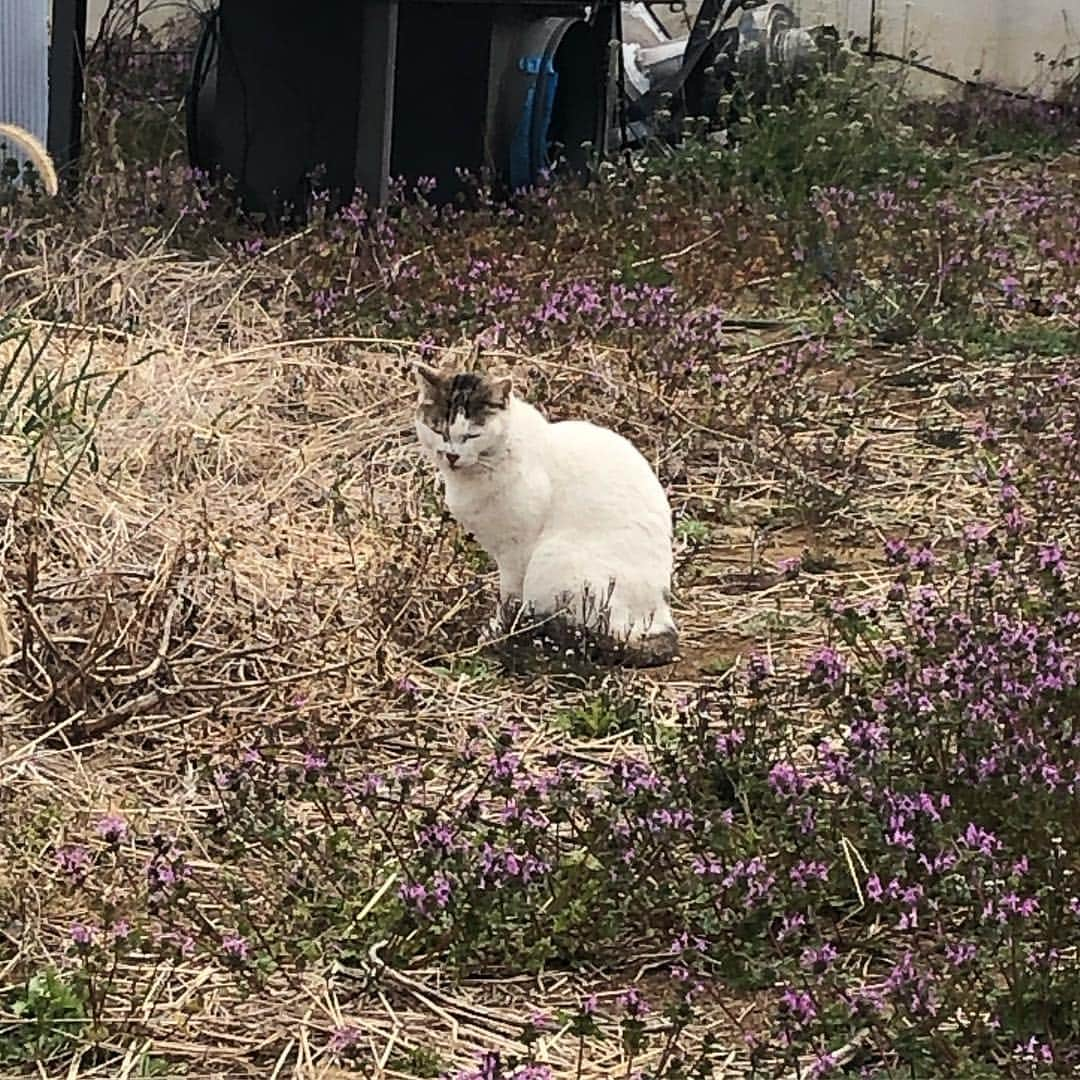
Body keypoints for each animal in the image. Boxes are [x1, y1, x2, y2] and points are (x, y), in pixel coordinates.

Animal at [412, 365, 673, 665]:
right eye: (438, 429)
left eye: (472, 436)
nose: (452, 456)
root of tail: (660, 620)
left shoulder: (516, 551)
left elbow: (509, 598)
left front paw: (498, 632)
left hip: (554, 561)